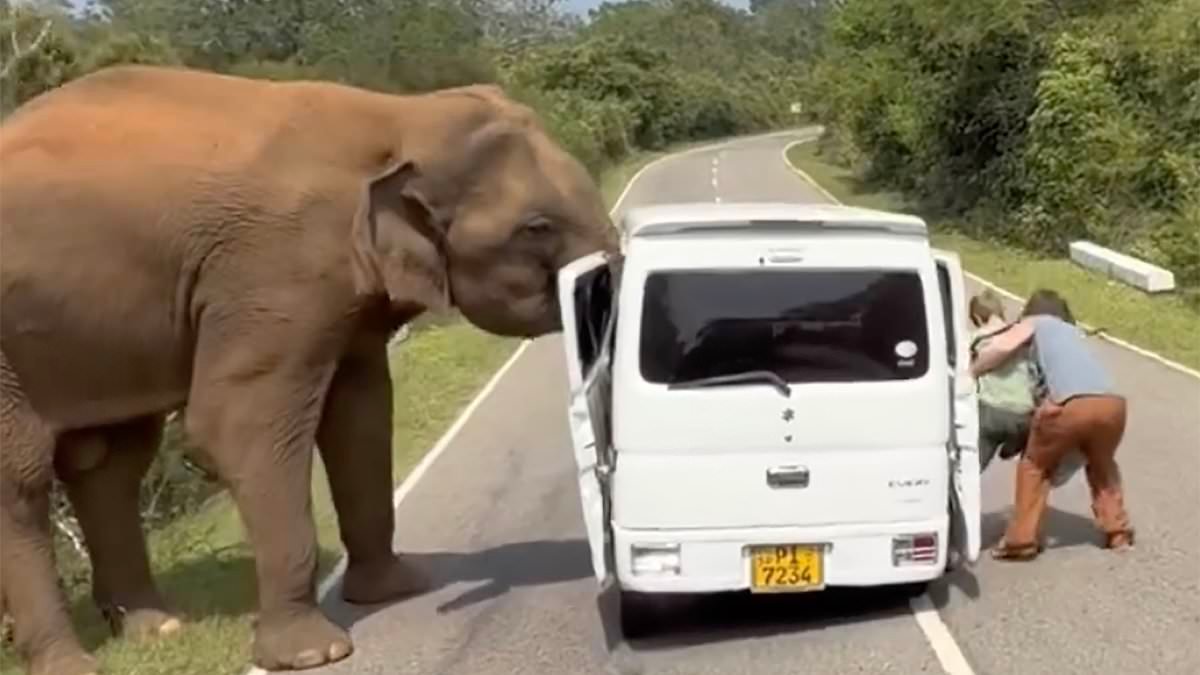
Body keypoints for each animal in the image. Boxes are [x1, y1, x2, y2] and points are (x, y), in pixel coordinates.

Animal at [0, 64, 618, 675]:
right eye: (536, 227)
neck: (398, 115)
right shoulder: (277, 270)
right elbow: (237, 424)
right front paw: (315, 654)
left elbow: (360, 415)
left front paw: (397, 589)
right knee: (25, 475)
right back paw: (73, 664)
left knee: (110, 461)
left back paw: (157, 629)